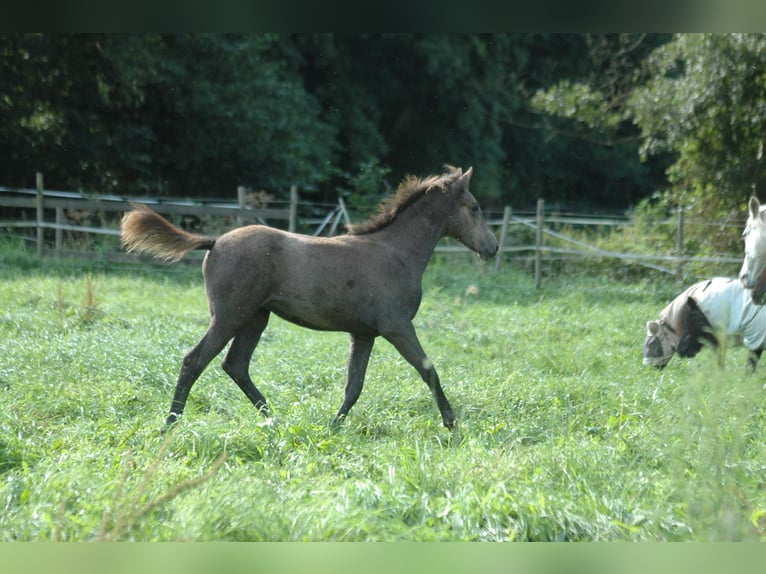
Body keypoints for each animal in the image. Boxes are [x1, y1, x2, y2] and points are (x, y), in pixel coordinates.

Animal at [120, 166, 498, 430]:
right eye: (475, 207)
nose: (493, 248)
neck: (396, 252)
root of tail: (214, 242)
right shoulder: (397, 326)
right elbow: (428, 369)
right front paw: (451, 423)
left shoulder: (364, 334)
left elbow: (354, 385)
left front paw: (333, 426)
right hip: (229, 316)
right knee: (194, 361)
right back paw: (170, 425)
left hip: (255, 317)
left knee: (235, 365)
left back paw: (274, 419)